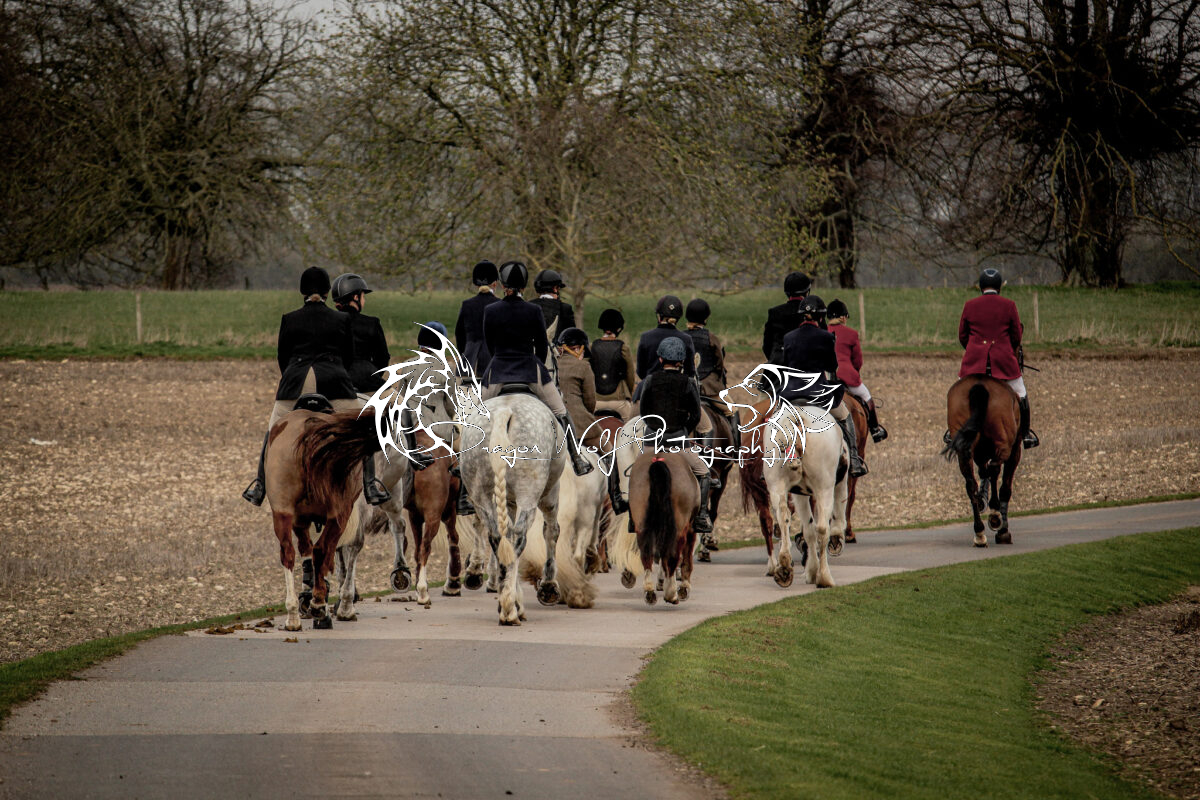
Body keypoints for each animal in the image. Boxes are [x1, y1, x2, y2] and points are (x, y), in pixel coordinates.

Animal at [457, 391, 566, 625]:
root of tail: (505, 412)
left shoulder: (508, 503)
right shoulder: (550, 495)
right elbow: (551, 532)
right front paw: (548, 587)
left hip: (482, 494)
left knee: (498, 538)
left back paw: (507, 602)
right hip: (529, 493)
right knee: (519, 539)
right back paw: (511, 608)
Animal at [942, 377, 1022, 546]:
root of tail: (979, 383)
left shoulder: (979, 453)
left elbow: (983, 474)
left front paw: (981, 499)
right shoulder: (1015, 450)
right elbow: (1005, 487)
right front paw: (1003, 530)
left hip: (964, 450)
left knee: (970, 483)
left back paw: (979, 532)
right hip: (1004, 445)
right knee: (995, 471)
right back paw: (995, 517)